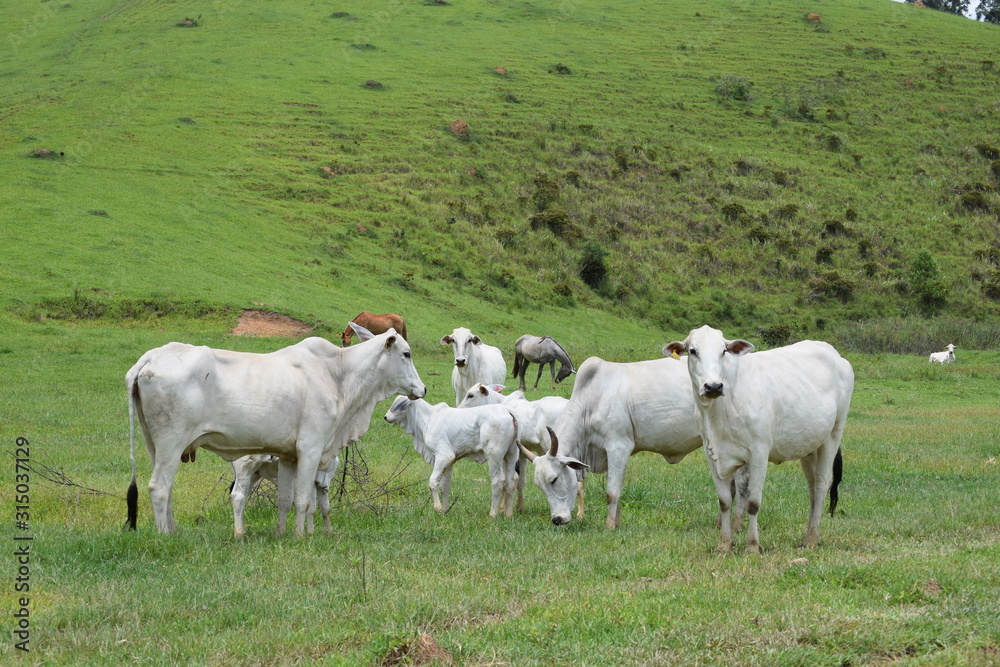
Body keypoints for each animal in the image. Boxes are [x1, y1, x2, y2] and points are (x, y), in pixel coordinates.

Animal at [126, 323, 425, 537]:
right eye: (406, 354)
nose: (422, 389)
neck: (337, 374)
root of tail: (152, 356)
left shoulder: (288, 456)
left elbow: (285, 500)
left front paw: (282, 533)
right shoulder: (311, 448)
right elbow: (304, 500)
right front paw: (301, 537)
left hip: (155, 445)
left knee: (167, 489)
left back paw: (173, 531)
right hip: (171, 441)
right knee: (158, 487)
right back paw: (165, 537)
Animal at [384, 396, 519, 518]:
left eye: (399, 405)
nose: (385, 417)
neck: (428, 418)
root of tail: (507, 410)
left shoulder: (444, 456)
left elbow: (433, 482)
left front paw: (437, 508)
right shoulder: (449, 462)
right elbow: (445, 485)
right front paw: (445, 510)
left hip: (494, 456)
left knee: (498, 481)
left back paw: (493, 513)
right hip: (511, 454)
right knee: (512, 480)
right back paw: (508, 514)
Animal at [458, 383, 569, 511]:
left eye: (470, 395)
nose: (459, 409)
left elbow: (506, 481)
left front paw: (502, 507)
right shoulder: (523, 453)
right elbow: (520, 481)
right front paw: (519, 507)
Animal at [516, 356, 714, 529]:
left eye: (554, 479)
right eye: (540, 486)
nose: (557, 519)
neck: (592, 400)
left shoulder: (618, 447)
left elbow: (612, 493)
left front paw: (609, 526)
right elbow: (617, 491)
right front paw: (617, 524)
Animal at [664, 325, 853, 553]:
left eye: (723, 351)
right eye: (692, 351)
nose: (713, 386)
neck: (719, 413)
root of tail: (831, 351)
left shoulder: (759, 454)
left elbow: (753, 502)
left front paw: (752, 546)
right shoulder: (713, 455)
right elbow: (724, 501)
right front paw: (724, 544)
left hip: (833, 435)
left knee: (822, 484)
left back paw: (811, 539)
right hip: (809, 447)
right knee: (813, 488)